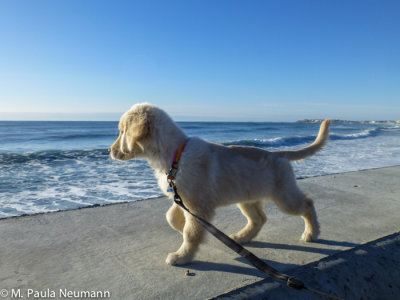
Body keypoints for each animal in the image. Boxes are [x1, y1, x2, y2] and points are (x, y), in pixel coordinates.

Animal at [111, 103, 330, 264]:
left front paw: (182, 256)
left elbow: (191, 233)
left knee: (307, 204)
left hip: (284, 197)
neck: (174, 155)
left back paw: (311, 233)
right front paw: (182, 228)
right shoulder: (183, 199)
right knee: (259, 218)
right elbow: (172, 217)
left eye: (121, 131)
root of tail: (278, 154)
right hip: (247, 198)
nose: (110, 151)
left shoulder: (198, 206)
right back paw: (242, 237)